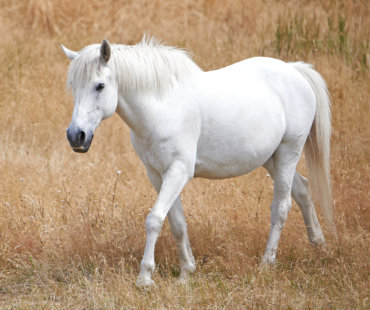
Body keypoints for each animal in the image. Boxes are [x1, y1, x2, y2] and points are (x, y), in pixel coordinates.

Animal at [61, 36, 336, 286]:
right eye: (73, 84)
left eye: (99, 86)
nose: (76, 136)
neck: (162, 107)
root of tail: (295, 70)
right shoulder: (157, 174)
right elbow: (177, 223)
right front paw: (186, 272)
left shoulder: (179, 171)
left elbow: (154, 219)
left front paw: (145, 277)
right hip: (272, 158)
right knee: (302, 190)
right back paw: (319, 245)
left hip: (289, 152)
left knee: (281, 207)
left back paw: (267, 263)